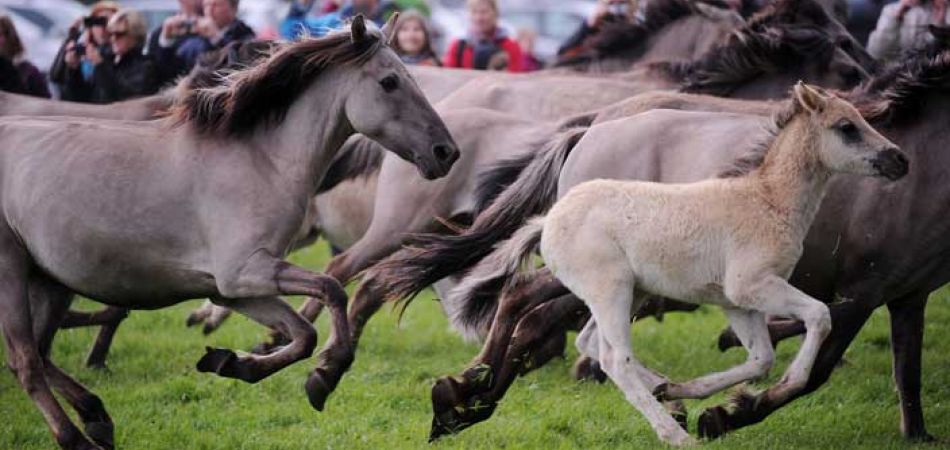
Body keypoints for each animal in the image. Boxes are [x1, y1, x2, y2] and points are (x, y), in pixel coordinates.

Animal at [0, 16, 459, 449]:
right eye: (389, 82)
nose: (446, 152)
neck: (260, 159)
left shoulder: (231, 289)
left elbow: (303, 334)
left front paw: (231, 363)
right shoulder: (246, 272)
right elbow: (331, 290)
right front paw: (324, 377)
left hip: (50, 280)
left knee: (40, 352)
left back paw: (96, 415)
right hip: (12, 273)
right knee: (25, 360)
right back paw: (76, 437)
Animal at [377, 48, 950, 441]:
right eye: (847, 127)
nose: (899, 160)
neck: (763, 198)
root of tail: (552, 216)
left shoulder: (739, 301)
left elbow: (761, 357)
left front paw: (701, 396)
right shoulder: (781, 287)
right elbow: (818, 326)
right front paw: (741, 406)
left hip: (620, 295)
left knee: (591, 344)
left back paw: (663, 396)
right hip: (612, 292)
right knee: (607, 354)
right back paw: (668, 427)